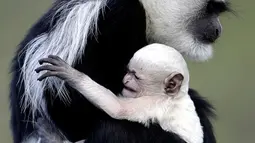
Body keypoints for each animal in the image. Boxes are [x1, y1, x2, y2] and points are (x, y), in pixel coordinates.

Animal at [35, 43, 203, 143]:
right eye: (128, 71)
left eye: (135, 76)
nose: (125, 80)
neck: (176, 96)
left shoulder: (155, 102)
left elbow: (118, 109)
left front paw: (71, 75)